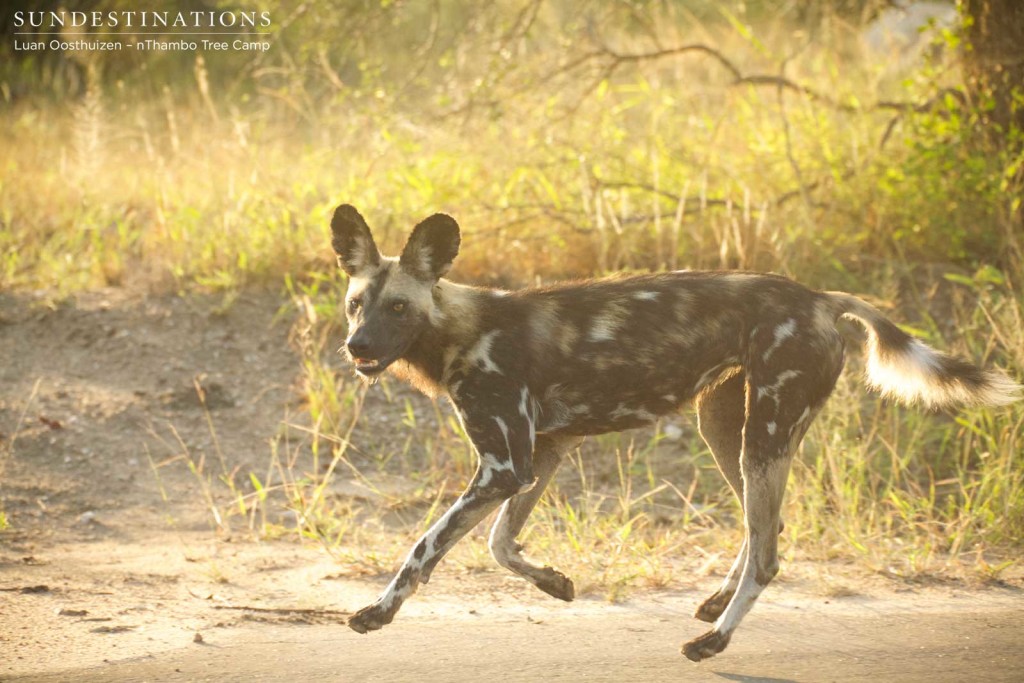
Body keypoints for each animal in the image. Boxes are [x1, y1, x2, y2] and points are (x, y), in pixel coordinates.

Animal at [331, 204, 1019, 663]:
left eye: (398, 307)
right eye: (355, 303)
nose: (357, 347)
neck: (461, 330)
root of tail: (821, 298)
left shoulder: (505, 466)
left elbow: (425, 545)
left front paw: (378, 613)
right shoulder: (541, 454)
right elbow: (502, 543)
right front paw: (555, 583)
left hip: (762, 432)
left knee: (768, 552)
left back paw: (713, 641)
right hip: (728, 430)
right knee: (767, 525)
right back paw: (715, 606)